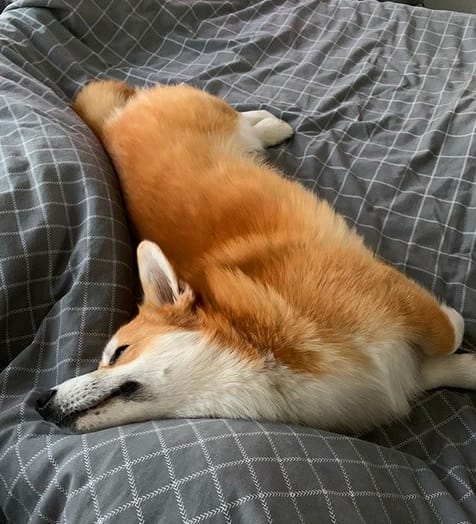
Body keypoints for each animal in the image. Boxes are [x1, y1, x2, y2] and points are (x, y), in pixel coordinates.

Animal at [36, 79, 471, 433]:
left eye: (118, 353)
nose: (39, 401)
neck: (254, 343)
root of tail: (113, 122)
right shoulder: (402, 373)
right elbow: (446, 364)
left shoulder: (394, 297)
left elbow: (448, 334)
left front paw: (456, 320)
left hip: (211, 115)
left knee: (238, 115)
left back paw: (272, 122)